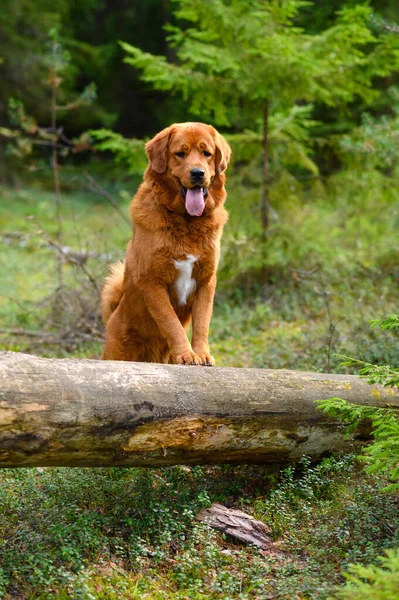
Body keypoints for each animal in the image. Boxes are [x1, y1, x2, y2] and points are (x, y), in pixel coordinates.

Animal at [101, 122, 231, 366]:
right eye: (180, 153)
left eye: (206, 153)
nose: (197, 173)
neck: (187, 222)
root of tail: (112, 317)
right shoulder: (152, 281)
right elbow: (171, 322)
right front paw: (186, 354)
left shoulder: (206, 281)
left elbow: (202, 323)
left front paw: (202, 353)